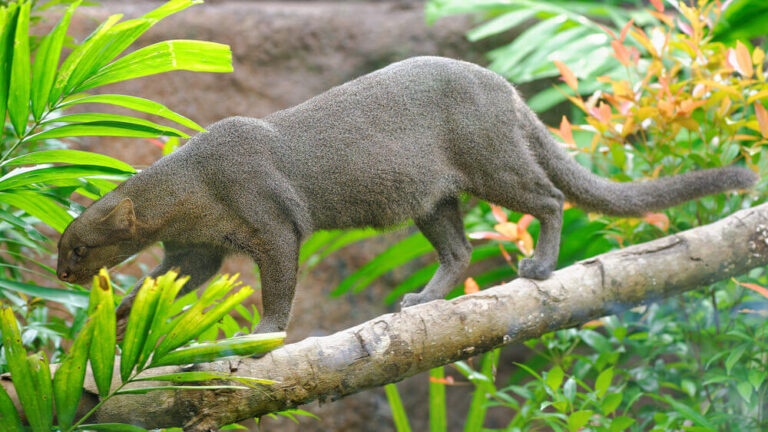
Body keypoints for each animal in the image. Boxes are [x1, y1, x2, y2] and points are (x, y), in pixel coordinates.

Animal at [55, 56, 756, 334]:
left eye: (79, 247)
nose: (61, 273)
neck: (190, 187)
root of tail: (501, 84)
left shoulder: (274, 226)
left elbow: (279, 288)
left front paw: (266, 332)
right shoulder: (195, 252)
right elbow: (158, 285)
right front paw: (119, 317)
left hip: (492, 164)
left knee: (550, 199)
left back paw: (538, 266)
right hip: (431, 200)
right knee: (460, 251)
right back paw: (421, 300)